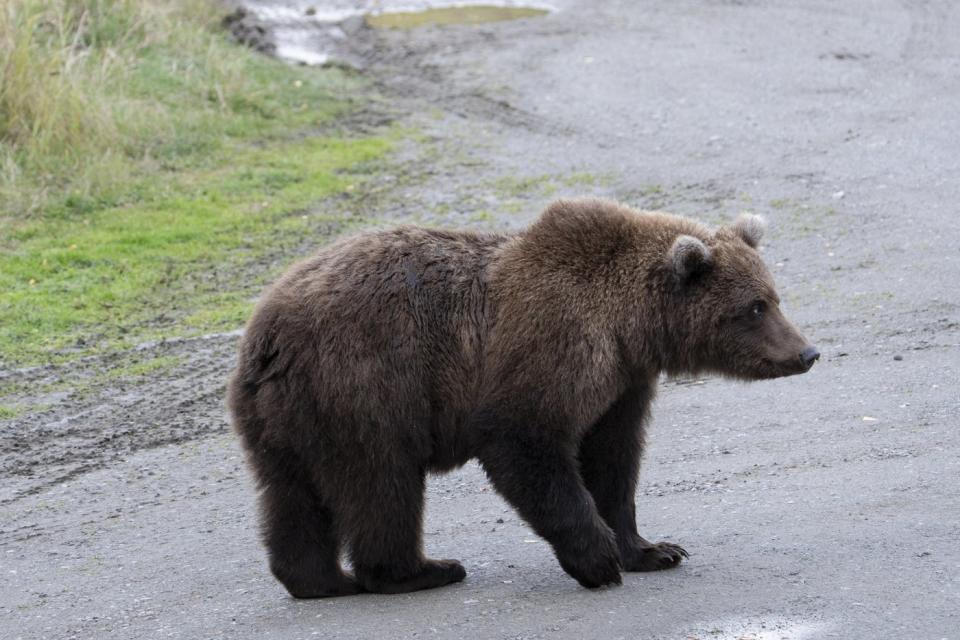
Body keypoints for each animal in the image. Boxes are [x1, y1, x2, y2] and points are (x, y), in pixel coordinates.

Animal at [225, 198, 816, 596]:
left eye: (774, 297)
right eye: (754, 307)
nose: (806, 352)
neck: (629, 325)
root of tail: (264, 334)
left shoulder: (622, 382)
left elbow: (613, 459)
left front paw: (653, 549)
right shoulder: (555, 342)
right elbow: (525, 440)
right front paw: (598, 558)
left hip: (288, 416)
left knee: (291, 494)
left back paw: (318, 579)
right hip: (366, 385)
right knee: (381, 483)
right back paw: (420, 570)